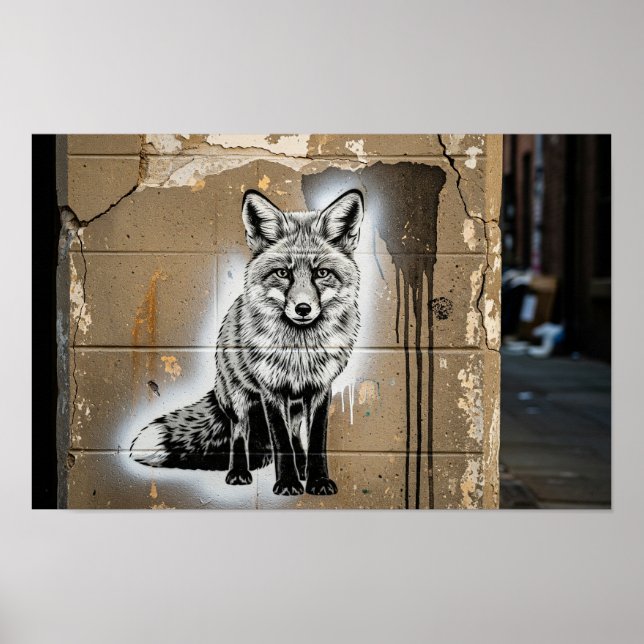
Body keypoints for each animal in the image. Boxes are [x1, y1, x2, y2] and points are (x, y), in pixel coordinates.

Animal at [130, 188, 364, 495]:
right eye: (283, 273)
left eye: (321, 273)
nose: (302, 309)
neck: (299, 351)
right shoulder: (270, 389)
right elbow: (280, 442)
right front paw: (287, 483)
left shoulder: (320, 388)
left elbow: (314, 441)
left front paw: (317, 481)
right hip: (239, 400)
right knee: (240, 432)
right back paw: (239, 472)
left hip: (294, 406)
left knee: (294, 435)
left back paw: (301, 469)